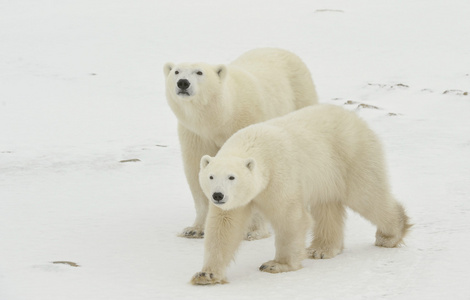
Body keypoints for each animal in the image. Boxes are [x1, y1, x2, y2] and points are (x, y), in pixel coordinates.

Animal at [163, 48, 318, 240]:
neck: (222, 116)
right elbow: (196, 170)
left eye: (199, 72)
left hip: (300, 96)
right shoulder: (196, 134)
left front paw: (254, 231)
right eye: (176, 71)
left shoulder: (247, 120)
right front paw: (195, 229)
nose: (183, 83)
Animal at [191, 104, 412, 284]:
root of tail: (356, 118)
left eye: (232, 177)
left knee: (367, 195)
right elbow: (224, 227)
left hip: (352, 156)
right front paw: (206, 274)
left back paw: (390, 234)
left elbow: (290, 218)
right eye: (211, 176)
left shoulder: (278, 176)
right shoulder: (236, 201)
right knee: (327, 207)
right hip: (327, 175)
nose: (218, 196)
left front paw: (276, 264)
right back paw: (320, 249)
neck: (253, 145)